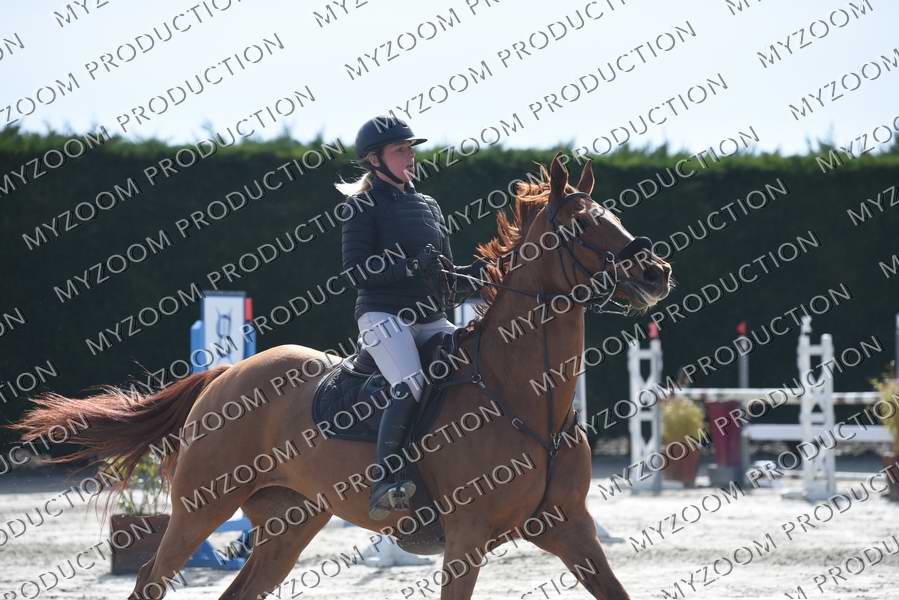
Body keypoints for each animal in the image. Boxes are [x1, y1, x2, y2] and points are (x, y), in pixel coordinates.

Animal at [13, 153, 672, 600]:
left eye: (613, 215)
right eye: (582, 225)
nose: (656, 272)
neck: (524, 397)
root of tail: (227, 376)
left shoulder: (571, 529)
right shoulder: (466, 538)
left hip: (289, 523)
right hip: (201, 507)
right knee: (152, 577)